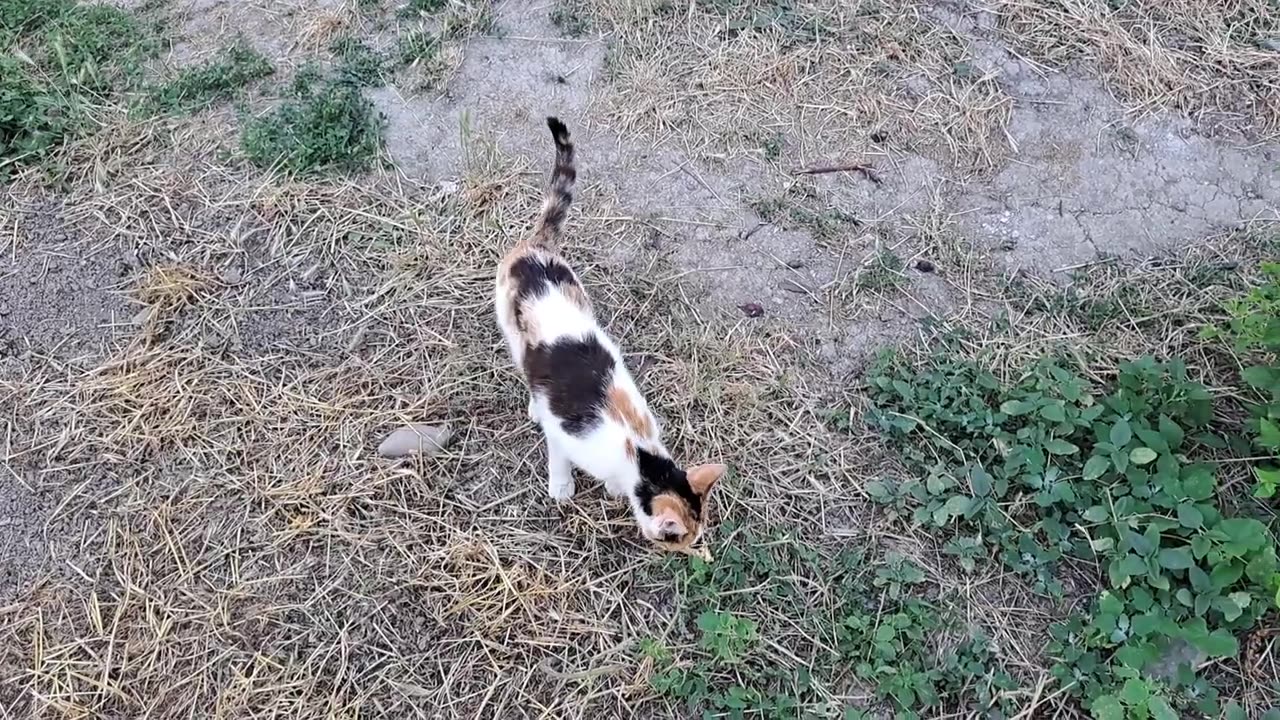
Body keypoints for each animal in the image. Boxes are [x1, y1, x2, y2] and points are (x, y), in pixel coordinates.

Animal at [494, 119, 727, 556]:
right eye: (682, 540)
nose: (697, 552)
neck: (639, 456)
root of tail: (537, 247)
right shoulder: (563, 437)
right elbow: (558, 459)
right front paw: (562, 487)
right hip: (510, 327)